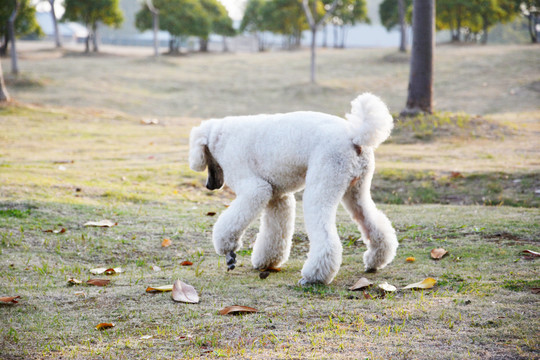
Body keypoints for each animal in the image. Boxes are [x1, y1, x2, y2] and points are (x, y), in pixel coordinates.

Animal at [189, 93, 396, 284]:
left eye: (206, 157)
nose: (209, 186)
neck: (221, 136)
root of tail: (355, 137)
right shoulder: (277, 197)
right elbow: (274, 232)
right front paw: (267, 261)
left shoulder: (255, 189)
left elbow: (233, 220)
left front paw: (229, 251)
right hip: (356, 190)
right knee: (372, 221)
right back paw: (375, 261)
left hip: (324, 182)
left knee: (325, 237)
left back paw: (314, 276)